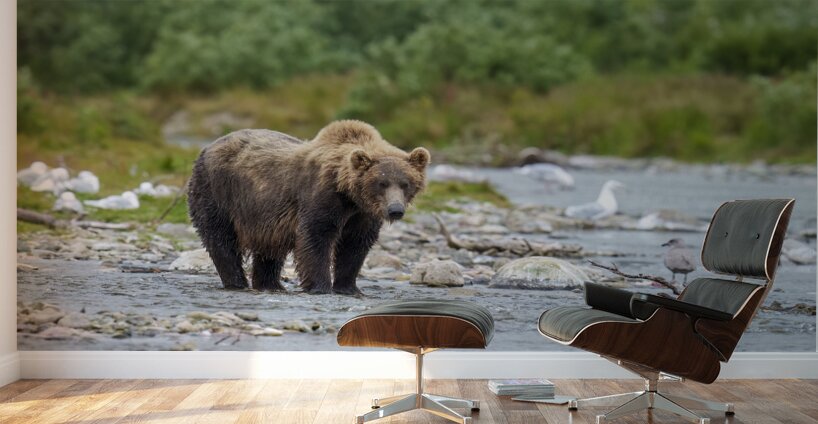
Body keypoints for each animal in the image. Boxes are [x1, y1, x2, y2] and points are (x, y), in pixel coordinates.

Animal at [187, 120, 430, 295]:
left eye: (405, 183)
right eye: (382, 183)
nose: (395, 210)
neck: (349, 194)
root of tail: (208, 147)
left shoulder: (362, 214)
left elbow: (355, 245)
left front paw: (348, 287)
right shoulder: (322, 198)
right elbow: (316, 237)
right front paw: (320, 286)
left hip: (264, 215)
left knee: (269, 249)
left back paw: (271, 284)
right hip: (217, 192)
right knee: (221, 239)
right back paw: (237, 282)